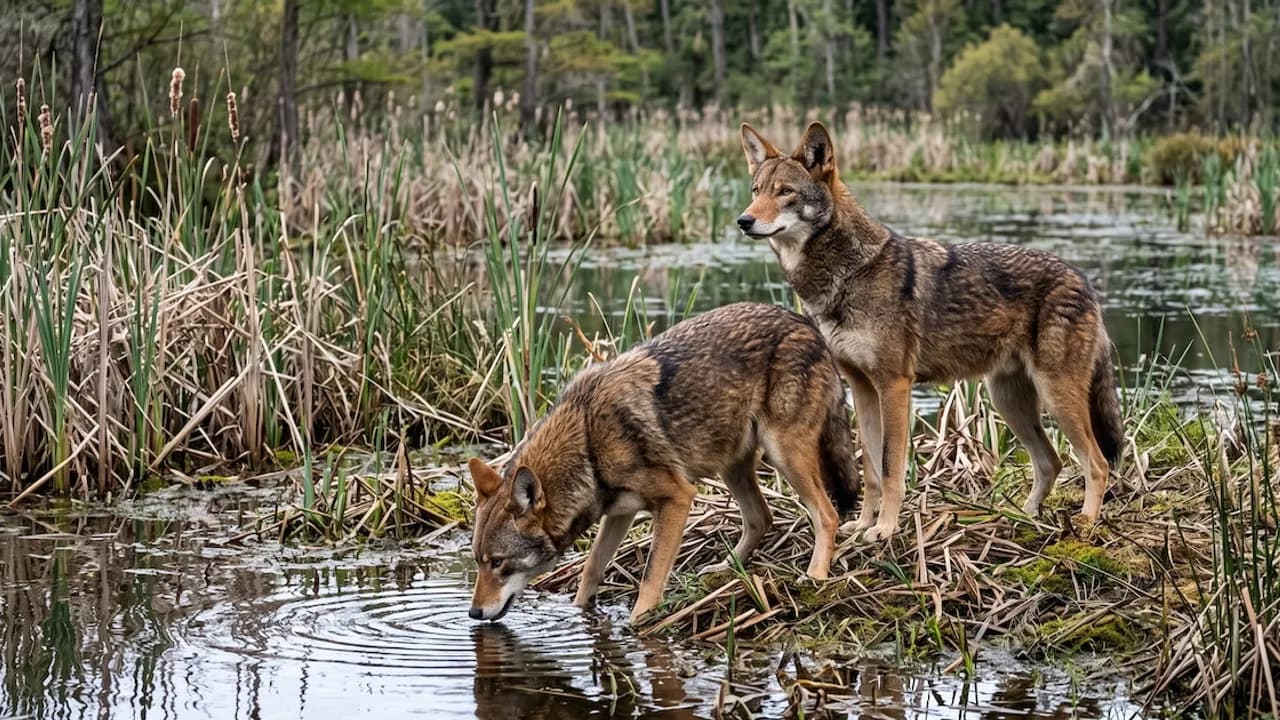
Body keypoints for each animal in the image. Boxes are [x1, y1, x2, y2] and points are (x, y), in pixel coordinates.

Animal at [467, 302, 859, 622]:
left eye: (498, 562)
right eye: (478, 561)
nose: (473, 614)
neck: (588, 441)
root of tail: (806, 323)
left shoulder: (677, 498)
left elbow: (651, 576)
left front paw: (638, 623)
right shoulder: (619, 512)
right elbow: (591, 568)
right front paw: (580, 610)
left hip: (785, 456)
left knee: (827, 514)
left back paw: (815, 576)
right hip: (732, 466)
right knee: (761, 518)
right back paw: (724, 570)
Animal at [736, 122, 1124, 542]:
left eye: (785, 192)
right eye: (756, 190)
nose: (743, 220)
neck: (849, 272)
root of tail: (1082, 279)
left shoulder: (894, 385)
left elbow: (890, 467)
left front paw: (885, 529)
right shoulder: (862, 388)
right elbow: (870, 469)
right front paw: (864, 523)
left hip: (1056, 397)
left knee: (1097, 462)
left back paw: (1085, 524)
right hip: (1009, 402)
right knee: (1050, 462)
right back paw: (1023, 518)